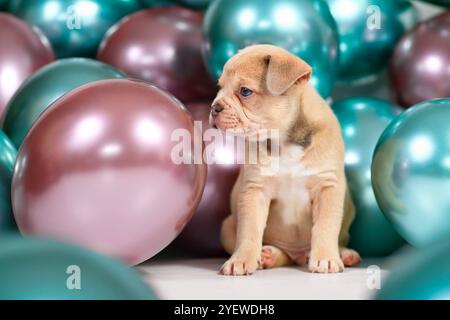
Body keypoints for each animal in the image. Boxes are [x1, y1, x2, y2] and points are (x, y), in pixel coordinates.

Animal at [211, 44, 362, 276]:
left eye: (245, 91)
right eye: (219, 87)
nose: (214, 108)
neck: (283, 140)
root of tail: (299, 255)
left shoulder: (327, 187)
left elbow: (325, 226)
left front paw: (326, 258)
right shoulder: (255, 191)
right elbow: (249, 231)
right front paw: (241, 260)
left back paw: (343, 253)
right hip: (227, 226)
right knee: (282, 255)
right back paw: (268, 255)